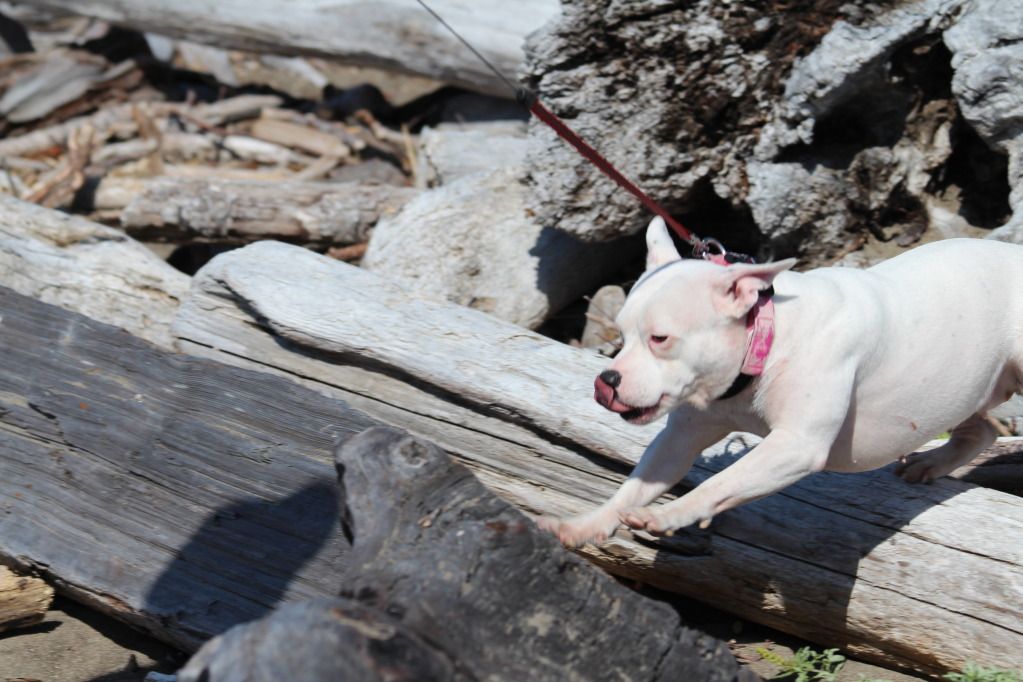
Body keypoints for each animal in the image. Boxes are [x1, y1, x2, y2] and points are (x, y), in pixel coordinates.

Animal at [540, 219, 1018, 548]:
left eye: (661, 339)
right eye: (621, 336)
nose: (607, 380)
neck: (766, 338)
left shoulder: (796, 446)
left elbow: (721, 483)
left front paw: (669, 515)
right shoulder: (680, 438)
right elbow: (633, 489)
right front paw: (584, 525)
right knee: (983, 430)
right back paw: (933, 463)